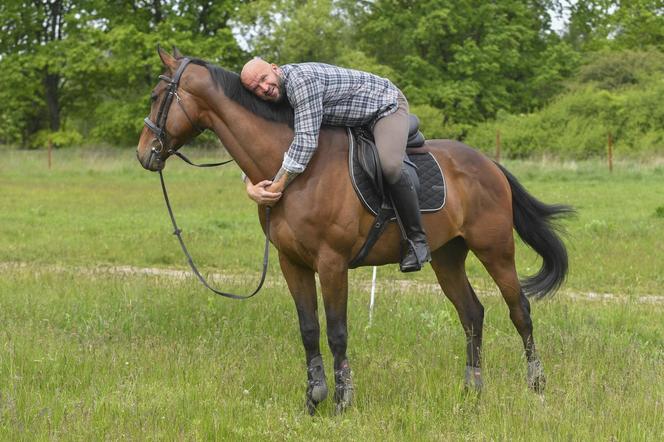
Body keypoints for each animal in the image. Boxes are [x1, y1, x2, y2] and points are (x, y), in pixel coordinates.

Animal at [135, 48, 572, 414]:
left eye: (156, 95)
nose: (143, 154)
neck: (298, 170)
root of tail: (488, 164)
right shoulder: (292, 263)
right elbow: (309, 330)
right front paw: (313, 399)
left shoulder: (332, 264)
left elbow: (337, 332)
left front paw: (343, 401)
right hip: (447, 257)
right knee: (472, 314)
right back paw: (472, 390)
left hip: (495, 249)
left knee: (520, 311)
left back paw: (536, 384)